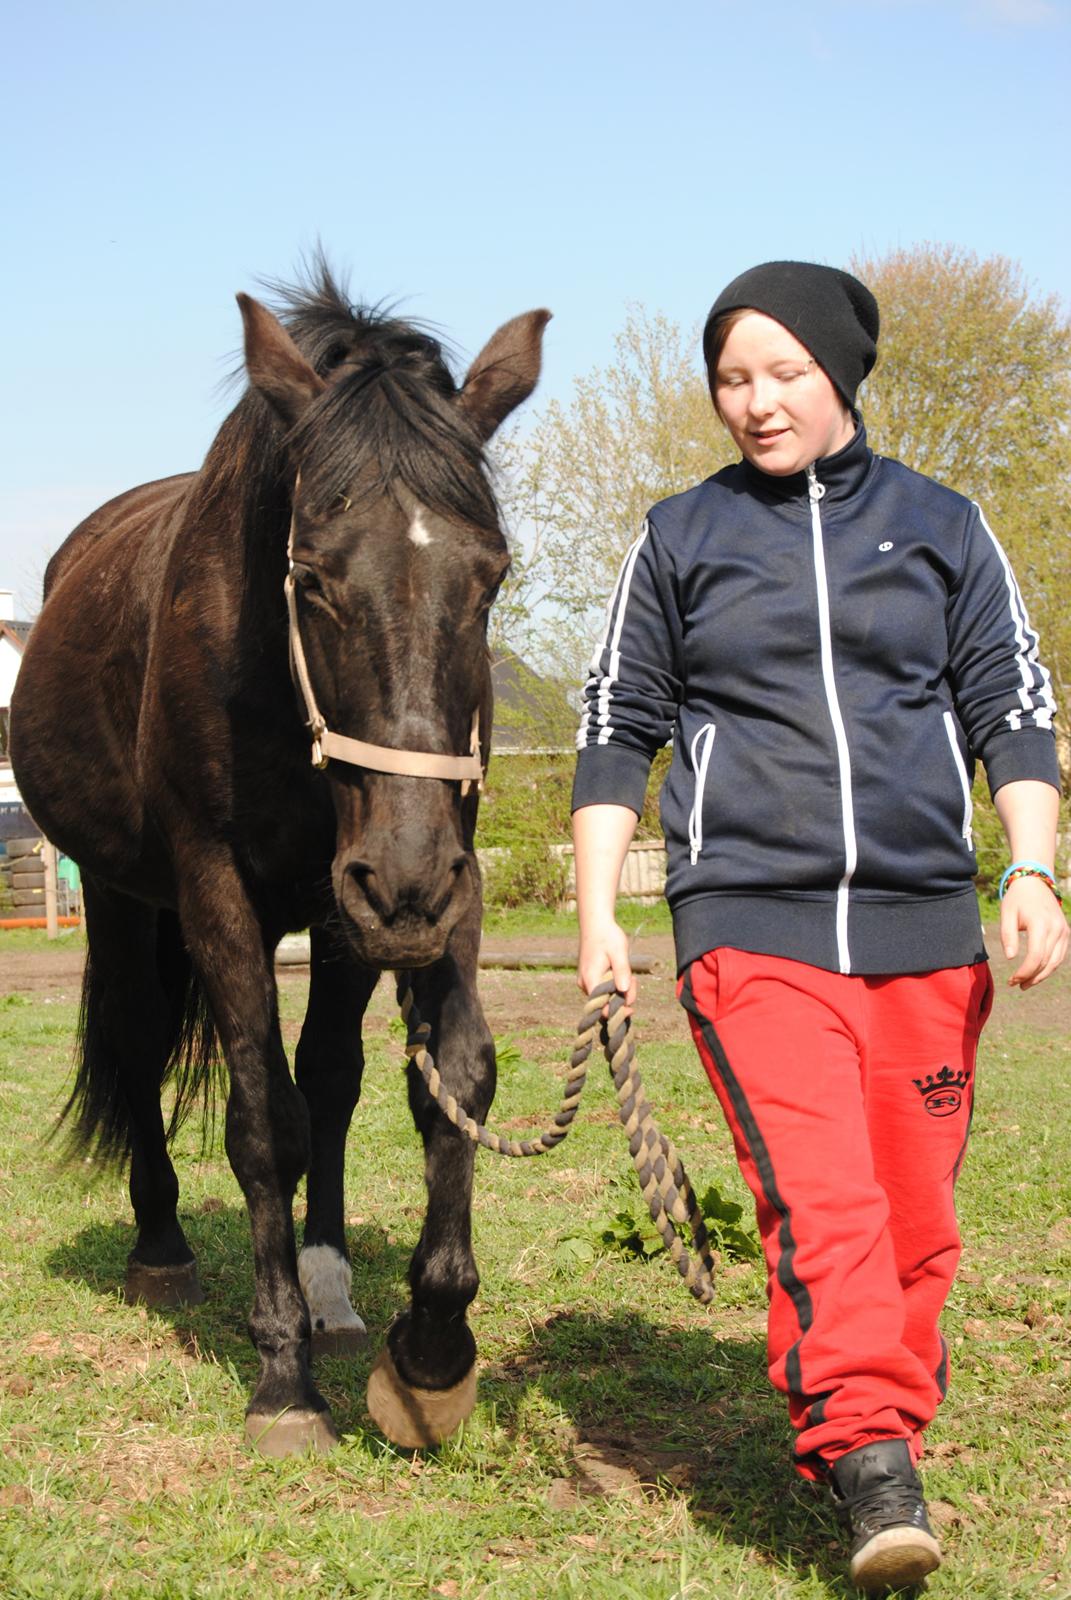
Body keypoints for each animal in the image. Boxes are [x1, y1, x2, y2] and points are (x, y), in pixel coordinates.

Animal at [12, 268, 550, 1459]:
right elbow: (263, 1124)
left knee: (333, 1082)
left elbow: (447, 1084)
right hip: (127, 895)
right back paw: (163, 1248)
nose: (405, 880)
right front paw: (281, 1382)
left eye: (490, 575)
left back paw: (330, 1292)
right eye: (311, 575)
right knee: (139, 1046)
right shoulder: (221, 891)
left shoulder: (434, 881)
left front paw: (428, 1349)